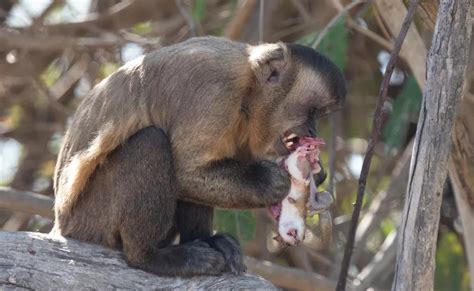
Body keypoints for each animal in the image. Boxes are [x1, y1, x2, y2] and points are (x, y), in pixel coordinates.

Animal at [52, 35, 344, 278]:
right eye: (311, 112)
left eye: (319, 116)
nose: (312, 130)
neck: (248, 86)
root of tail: (62, 225)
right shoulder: (215, 93)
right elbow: (186, 173)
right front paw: (272, 181)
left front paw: (315, 173)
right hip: (92, 219)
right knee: (152, 142)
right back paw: (149, 257)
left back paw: (206, 241)